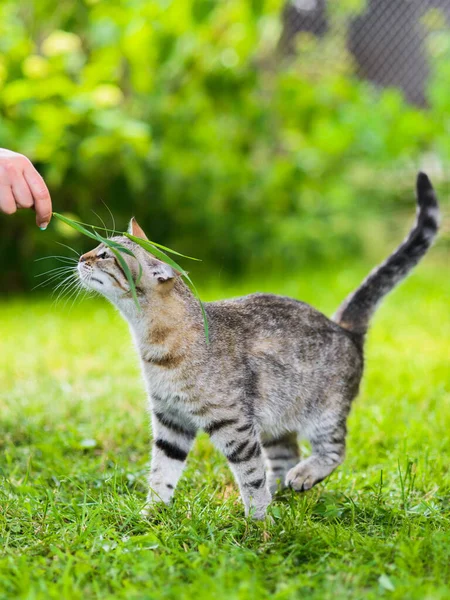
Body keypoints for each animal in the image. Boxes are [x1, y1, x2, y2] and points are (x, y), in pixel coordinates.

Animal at [77, 173, 440, 520]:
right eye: (97, 247)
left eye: (106, 255)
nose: (81, 257)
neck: (155, 345)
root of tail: (342, 327)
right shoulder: (171, 421)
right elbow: (161, 473)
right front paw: (151, 513)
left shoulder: (233, 424)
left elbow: (249, 475)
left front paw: (258, 521)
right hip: (276, 423)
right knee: (286, 457)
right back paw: (282, 493)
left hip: (325, 414)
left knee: (334, 451)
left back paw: (301, 478)